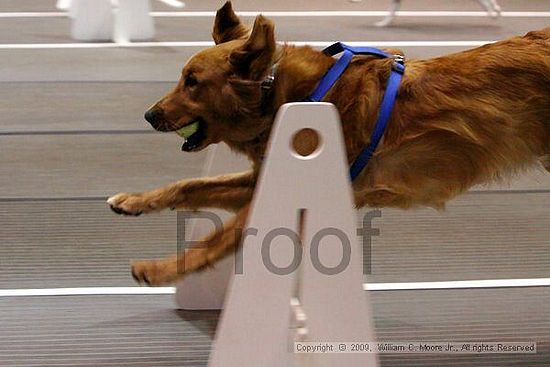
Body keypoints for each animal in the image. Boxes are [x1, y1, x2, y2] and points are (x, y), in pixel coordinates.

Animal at [105, 1, 548, 286]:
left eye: (192, 82)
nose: (148, 115)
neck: (279, 95)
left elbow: (216, 238)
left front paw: (160, 269)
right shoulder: (264, 175)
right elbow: (189, 186)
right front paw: (134, 200)